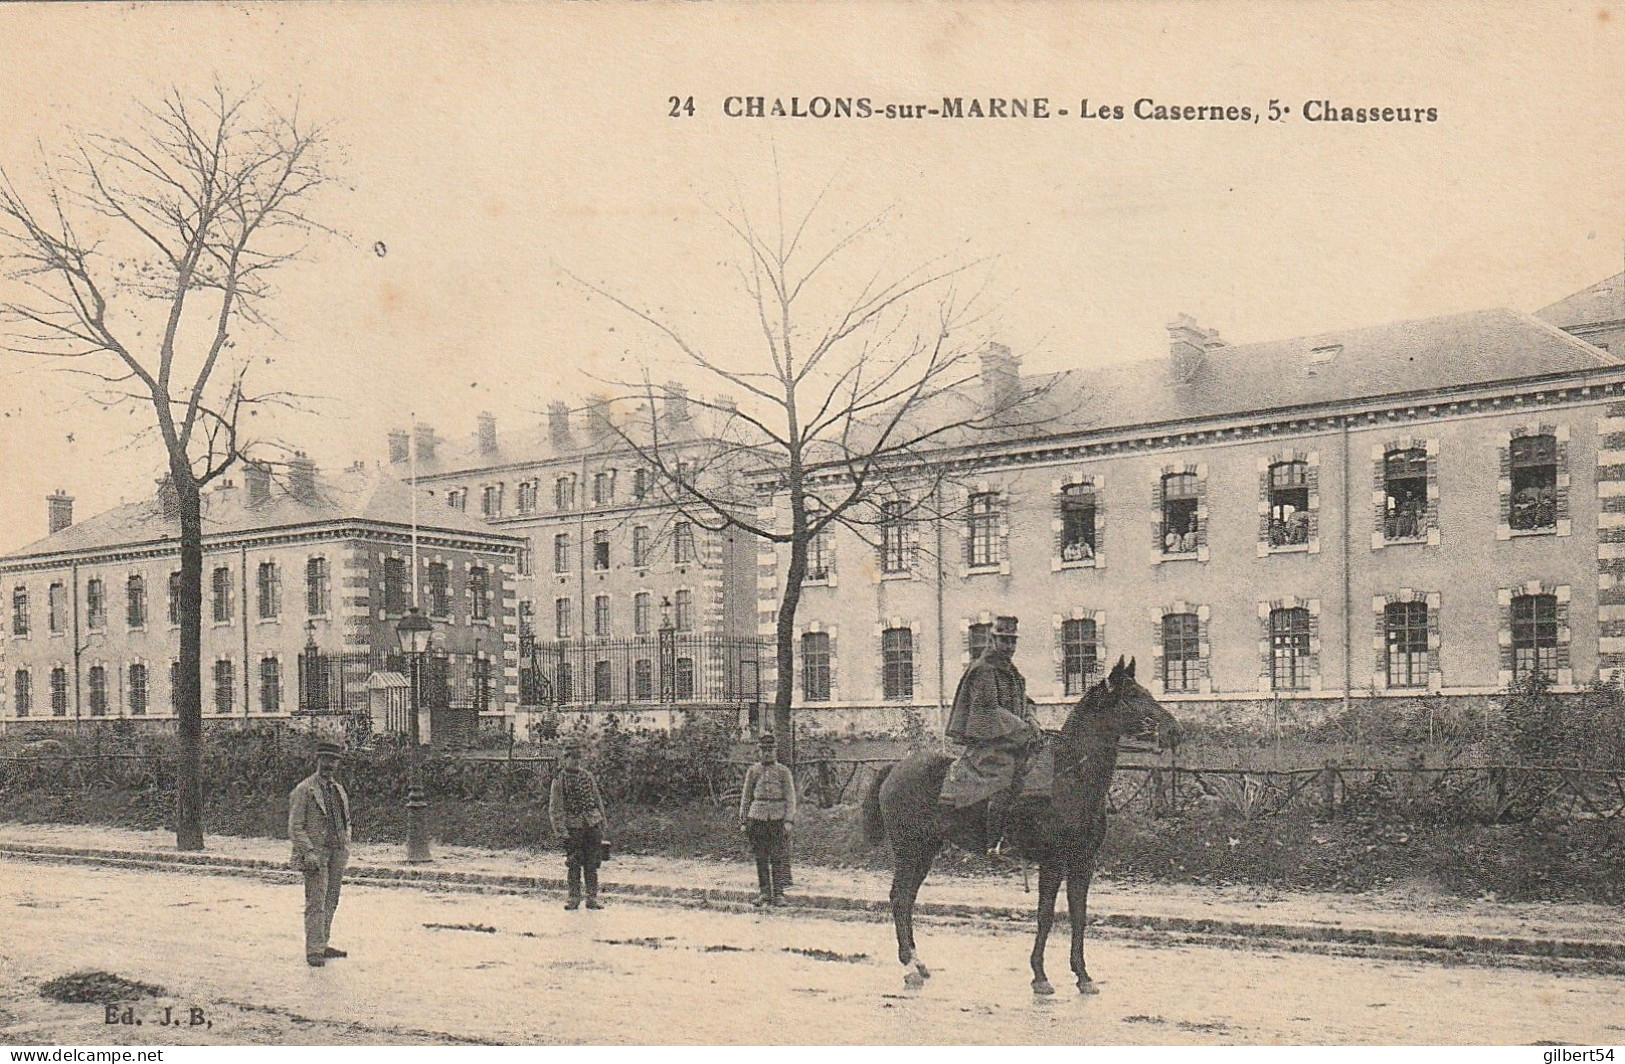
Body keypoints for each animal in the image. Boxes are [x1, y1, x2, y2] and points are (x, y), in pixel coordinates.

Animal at [864, 656, 1183, 1000]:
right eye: (1133, 696)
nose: (1175, 731)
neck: (1070, 777)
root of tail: (895, 768)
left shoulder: (1083, 862)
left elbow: (1079, 915)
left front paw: (1083, 975)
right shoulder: (1053, 862)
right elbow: (1046, 915)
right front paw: (1040, 976)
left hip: (925, 851)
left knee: (907, 898)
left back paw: (918, 963)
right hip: (909, 850)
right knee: (899, 898)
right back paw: (910, 965)